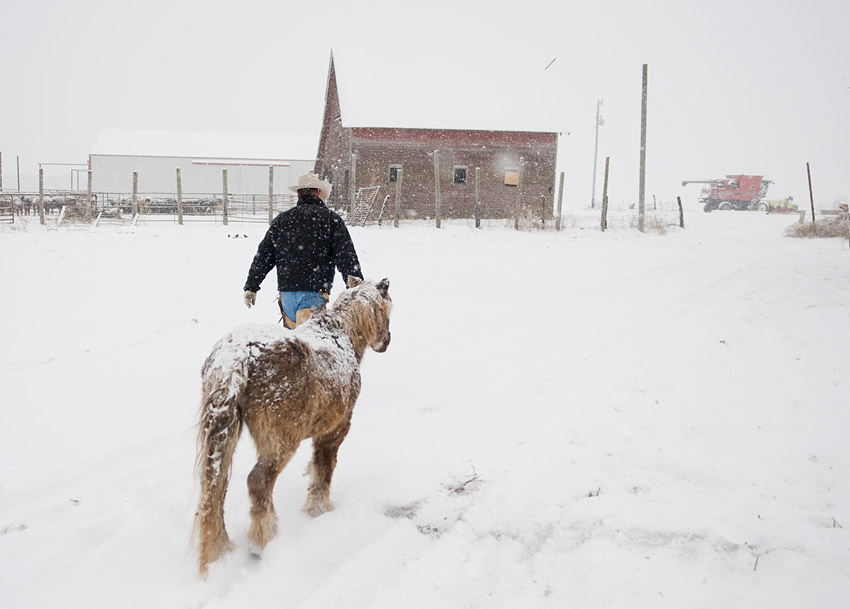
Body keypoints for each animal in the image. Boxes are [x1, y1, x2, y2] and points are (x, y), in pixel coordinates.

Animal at [192, 276, 390, 576]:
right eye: (387, 311)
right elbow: (324, 468)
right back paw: (262, 540)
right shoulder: (335, 431)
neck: (341, 335)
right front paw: (319, 509)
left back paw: (222, 546)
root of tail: (238, 355)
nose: (386, 342)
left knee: (216, 487)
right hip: (280, 445)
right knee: (258, 482)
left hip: (224, 439)